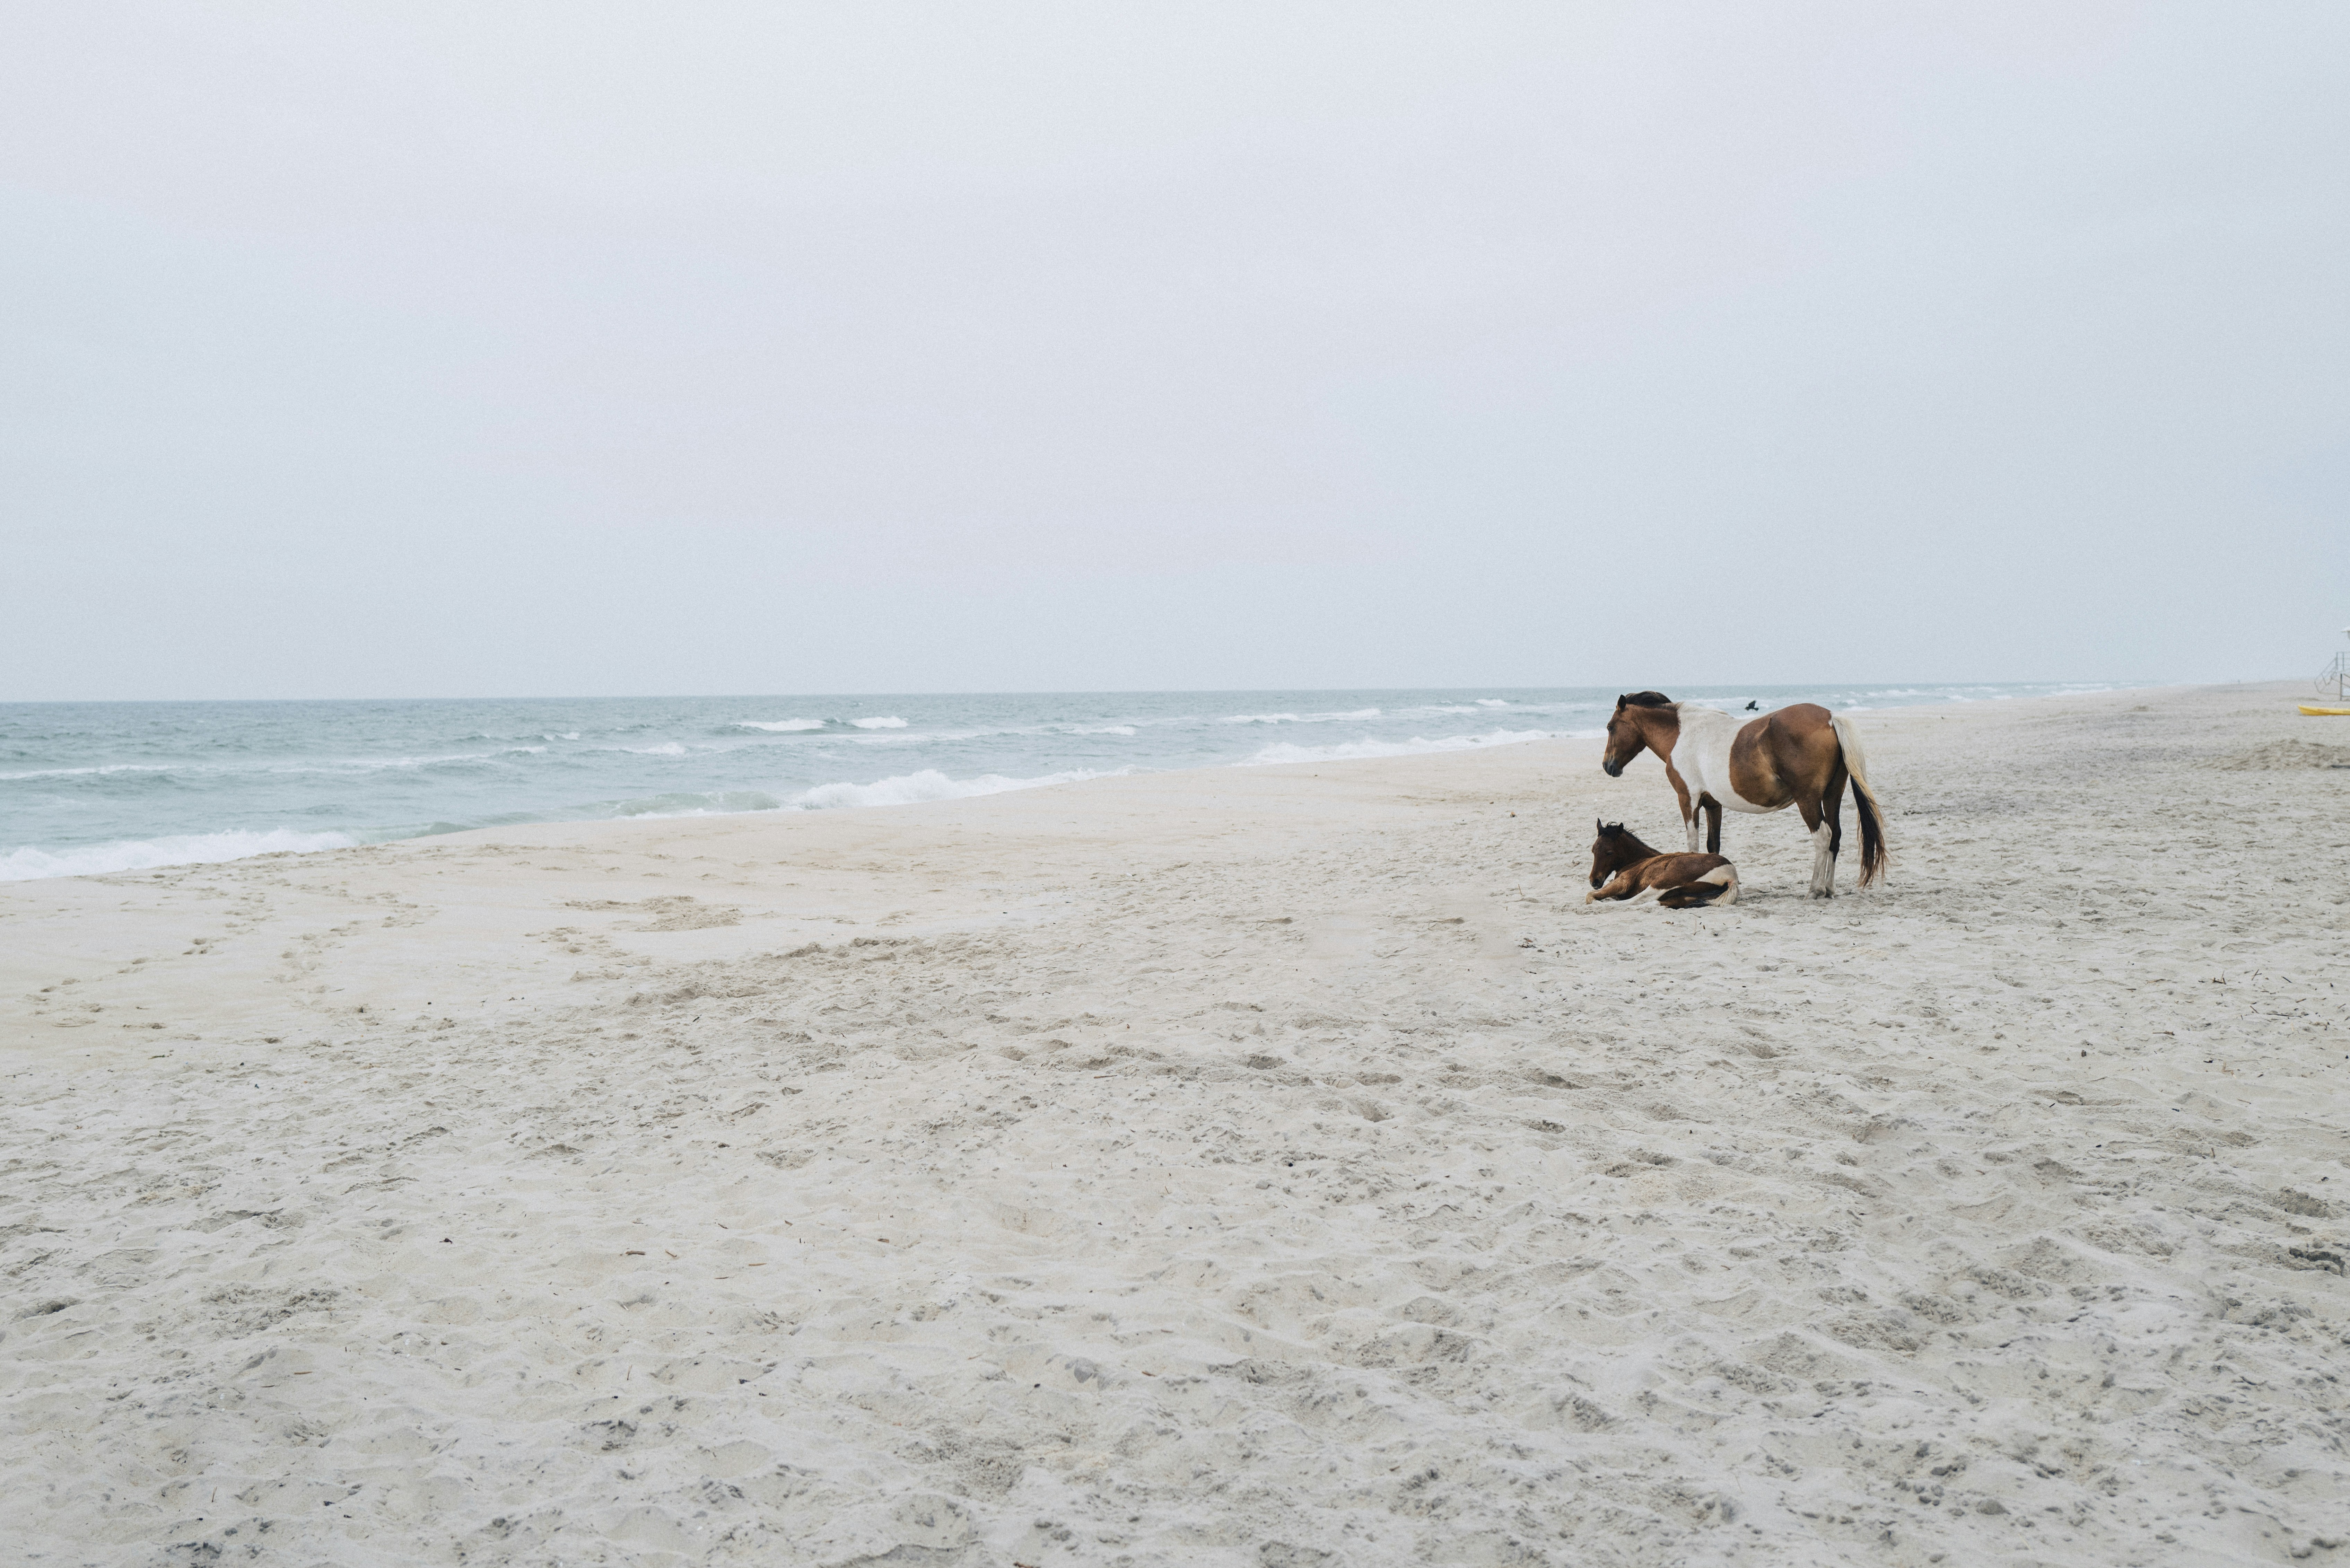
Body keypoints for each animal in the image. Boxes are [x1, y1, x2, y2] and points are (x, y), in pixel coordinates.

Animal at [1585, 821, 1739, 907]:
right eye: (1593, 850)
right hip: (1686, 896)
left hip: (1665, 880)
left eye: (1609, 852)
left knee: (1638, 900)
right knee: (1655, 903)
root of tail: (1732, 877)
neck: (1639, 860)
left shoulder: (1624, 882)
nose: (1594, 881)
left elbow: (1591, 896)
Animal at [1601, 692, 1888, 898]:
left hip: (1807, 800)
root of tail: (1829, 717)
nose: (1608, 766)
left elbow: (1693, 844)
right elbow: (1712, 845)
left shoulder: (1688, 799)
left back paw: (1815, 890)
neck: (1682, 735)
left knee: (1823, 837)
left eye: (1610, 727)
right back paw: (1828, 888)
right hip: (1831, 796)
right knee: (1835, 837)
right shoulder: (1712, 805)